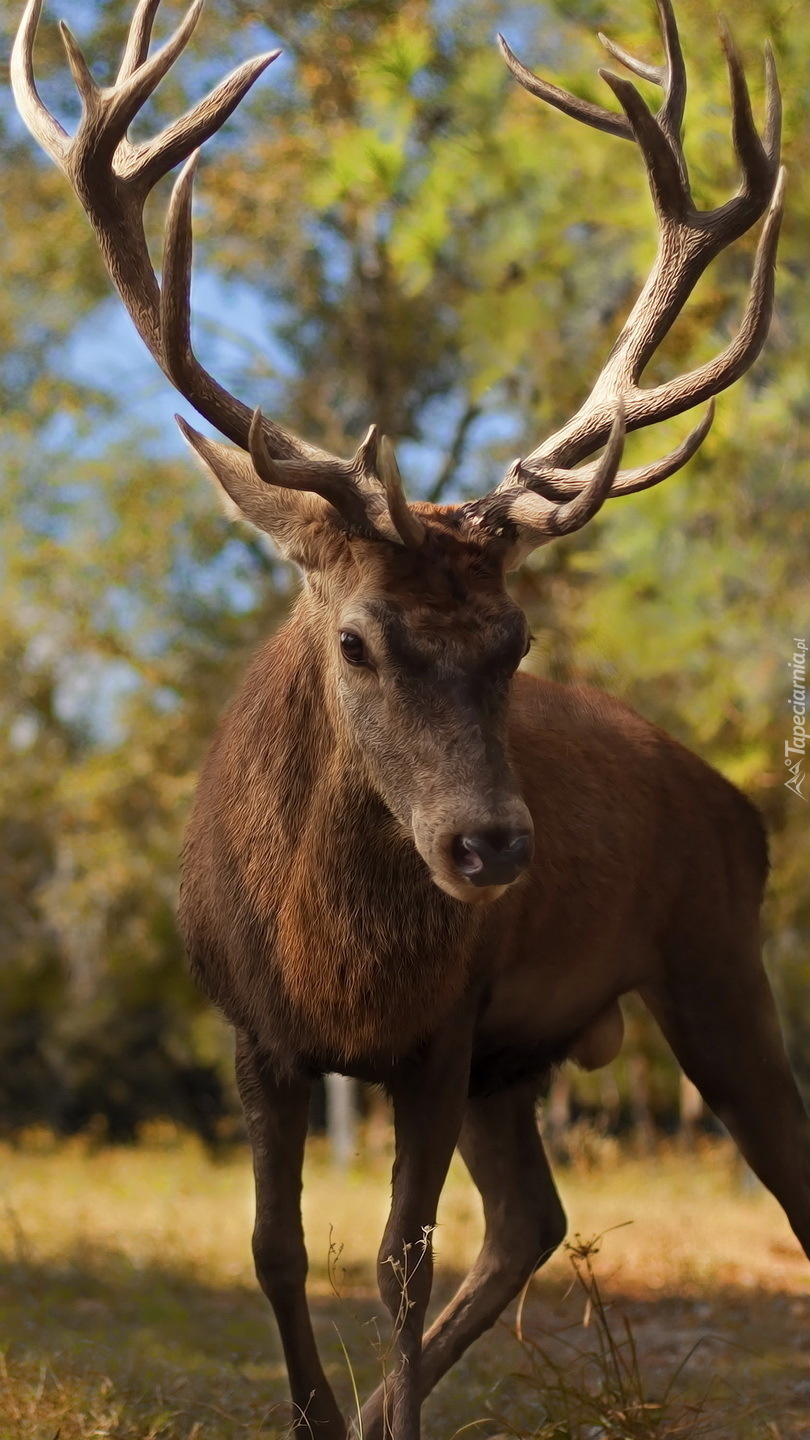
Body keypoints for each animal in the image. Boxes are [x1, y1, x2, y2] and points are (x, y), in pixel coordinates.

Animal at [12, 0, 807, 1434]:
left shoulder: (444, 1029)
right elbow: (276, 1248)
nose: (491, 846)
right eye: (356, 637)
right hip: (523, 1058)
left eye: (516, 641)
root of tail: (733, 804)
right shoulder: (254, 1031)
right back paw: (384, 1404)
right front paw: (323, 1416)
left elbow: (396, 1258)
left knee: (765, 1177)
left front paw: (375, 1406)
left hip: (715, 958)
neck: (336, 968)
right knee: (533, 1218)